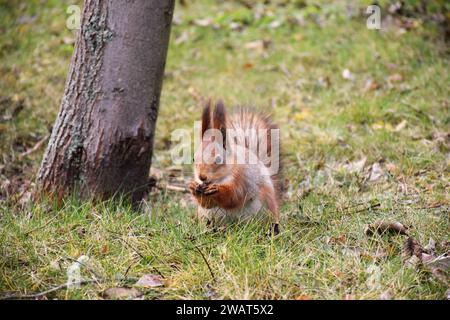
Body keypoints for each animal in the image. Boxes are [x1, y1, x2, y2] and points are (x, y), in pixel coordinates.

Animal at [189, 99, 282, 234]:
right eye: (193, 158)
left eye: (218, 159)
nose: (202, 177)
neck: (219, 179)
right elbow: (206, 203)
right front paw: (193, 187)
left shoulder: (243, 179)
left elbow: (234, 196)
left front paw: (217, 191)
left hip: (266, 206)